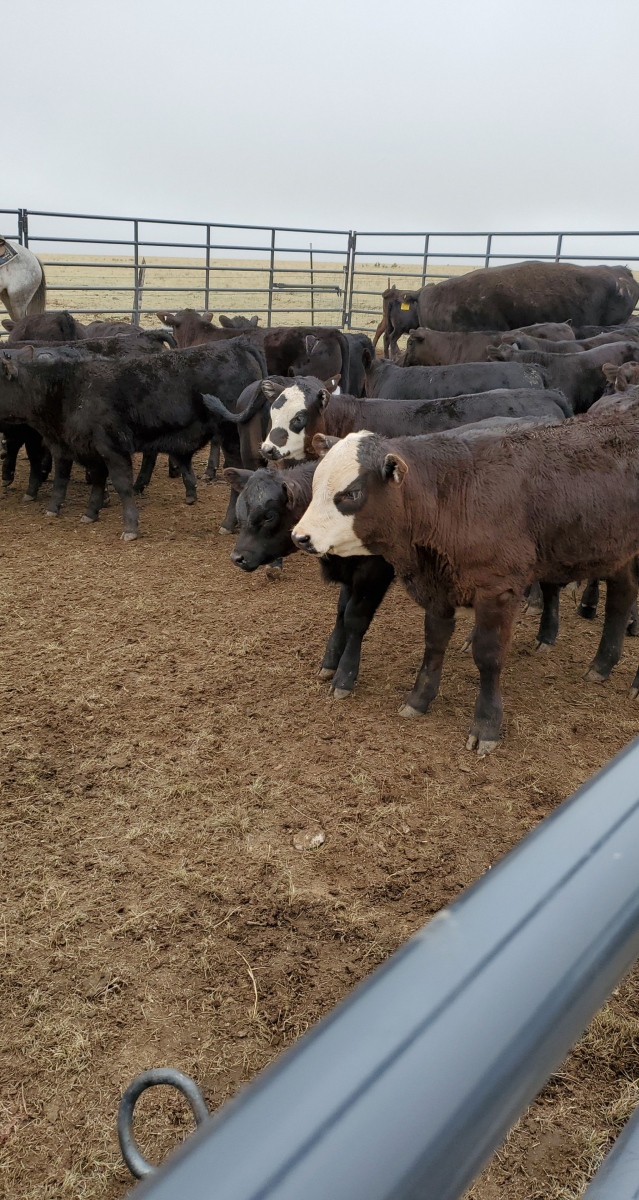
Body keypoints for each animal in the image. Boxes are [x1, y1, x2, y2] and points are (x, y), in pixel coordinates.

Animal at [0, 339, 265, 537]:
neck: (71, 389)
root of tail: (236, 344)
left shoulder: (112, 447)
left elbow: (122, 484)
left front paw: (130, 527)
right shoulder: (86, 448)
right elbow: (89, 480)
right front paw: (88, 513)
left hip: (232, 439)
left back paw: (228, 523)